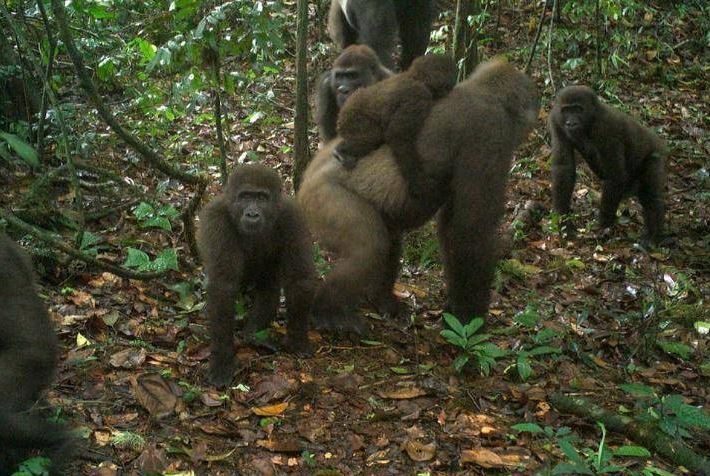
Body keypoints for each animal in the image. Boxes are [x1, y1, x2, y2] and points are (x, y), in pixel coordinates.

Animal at [197, 164, 317, 387]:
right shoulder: (216, 219)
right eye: (245, 196)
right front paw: (222, 359)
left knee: (269, 285)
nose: (252, 213)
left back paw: (254, 335)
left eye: (261, 198)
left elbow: (299, 278)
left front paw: (297, 339)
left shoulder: (292, 217)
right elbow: (223, 286)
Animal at [332, 54, 457, 201]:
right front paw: (418, 183)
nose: (449, 88)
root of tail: (342, 112)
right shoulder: (417, 96)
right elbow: (398, 136)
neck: (414, 77)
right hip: (353, 118)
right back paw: (341, 151)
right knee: (369, 137)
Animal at [549, 85, 667, 244]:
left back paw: (653, 237)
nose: (571, 123)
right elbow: (564, 168)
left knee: (650, 193)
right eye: (566, 110)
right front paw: (564, 221)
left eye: (578, 109)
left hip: (656, 154)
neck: (591, 117)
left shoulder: (607, 127)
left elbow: (615, 175)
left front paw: (603, 225)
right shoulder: (556, 120)